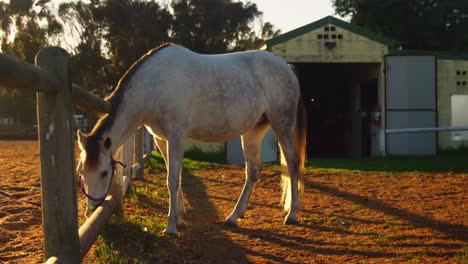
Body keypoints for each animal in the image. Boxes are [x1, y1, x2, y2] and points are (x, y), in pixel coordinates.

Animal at [77, 43, 308, 237]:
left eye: (104, 172)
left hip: (282, 123)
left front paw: (170, 227)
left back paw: (292, 214)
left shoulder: (176, 136)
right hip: (253, 131)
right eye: (81, 172)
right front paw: (179, 217)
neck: (155, 84)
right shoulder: (162, 139)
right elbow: (174, 176)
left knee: (293, 163)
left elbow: (173, 179)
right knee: (253, 172)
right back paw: (234, 217)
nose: (91, 210)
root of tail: (287, 68)